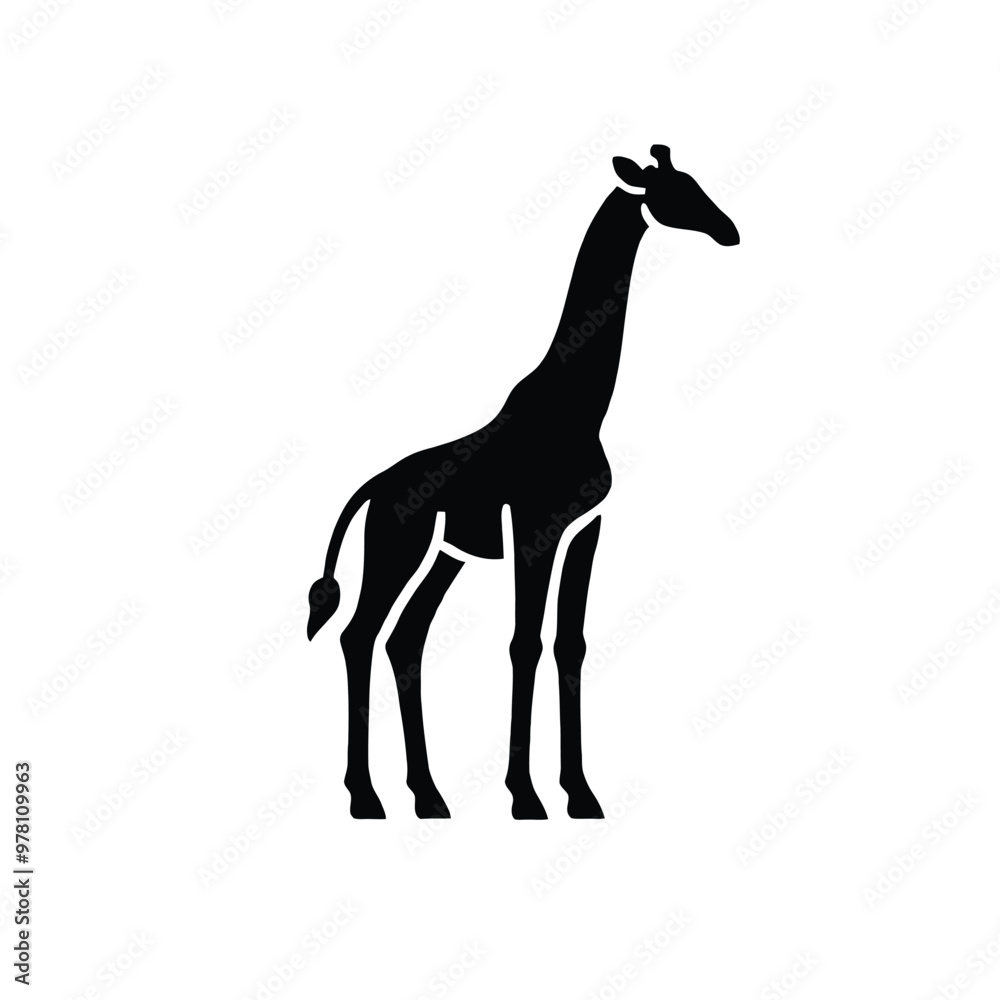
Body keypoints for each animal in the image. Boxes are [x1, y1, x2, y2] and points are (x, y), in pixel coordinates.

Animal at [307, 145, 739, 819]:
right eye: (673, 193)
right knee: (359, 634)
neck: (580, 408)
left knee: (405, 640)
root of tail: (373, 487)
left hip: (445, 557)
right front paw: (526, 796)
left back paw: (428, 795)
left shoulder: (586, 529)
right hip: (397, 548)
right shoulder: (538, 527)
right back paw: (366, 797)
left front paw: (581, 793)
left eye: (697, 183)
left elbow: (571, 644)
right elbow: (525, 643)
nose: (729, 231)